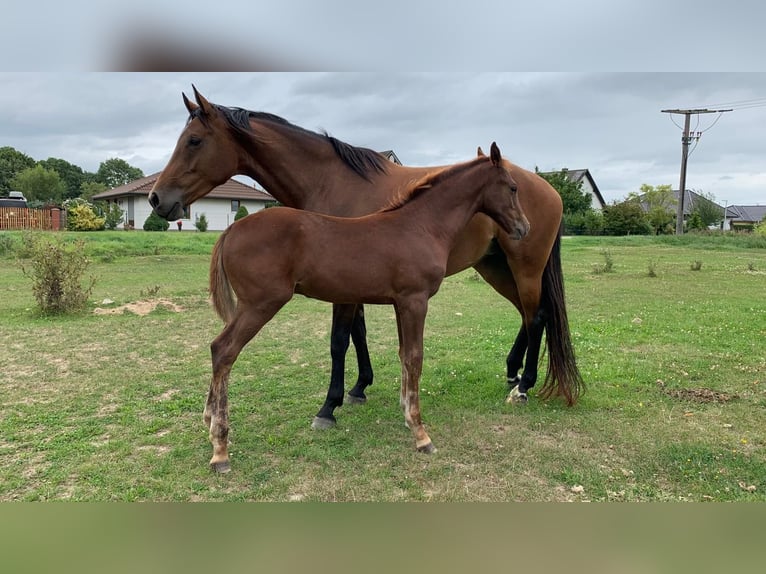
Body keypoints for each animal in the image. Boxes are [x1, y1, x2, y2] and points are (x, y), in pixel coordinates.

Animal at [147, 88, 584, 430]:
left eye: (194, 141)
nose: (156, 199)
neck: (330, 179)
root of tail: (550, 190)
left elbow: (340, 340)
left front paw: (330, 405)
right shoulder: (354, 280)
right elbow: (358, 333)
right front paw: (358, 388)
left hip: (525, 266)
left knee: (537, 315)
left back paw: (525, 385)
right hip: (494, 266)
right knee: (528, 315)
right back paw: (513, 373)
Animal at [206, 143, 528, 472]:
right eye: (513, 187)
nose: (523, 228)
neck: (422, 225)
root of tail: (231, 230)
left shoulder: (401, 303)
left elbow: (404, 355)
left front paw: (406, 414)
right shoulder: (415, 300)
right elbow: (415, 357)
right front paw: (420, 433)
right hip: (261, 304)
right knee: (223, 350)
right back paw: (220, 448)